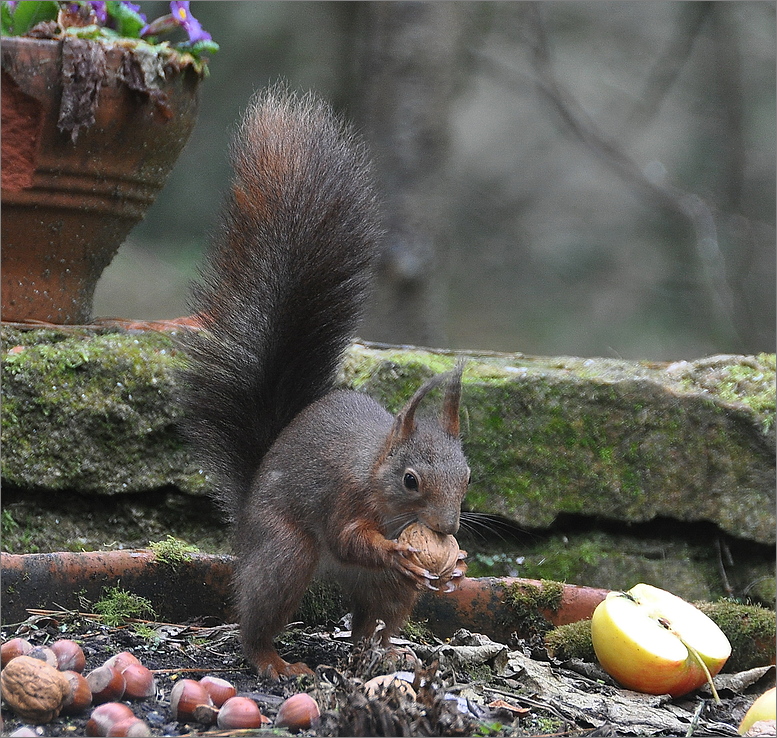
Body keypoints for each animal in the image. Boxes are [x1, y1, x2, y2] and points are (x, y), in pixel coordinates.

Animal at [180, 87, 470, 680]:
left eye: (468, 477)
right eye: (410, 480)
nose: (447, 527)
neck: (377, 471)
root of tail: (244, 521)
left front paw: (456, 568)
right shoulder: (345, 495)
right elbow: (348, 535)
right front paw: (397, 550)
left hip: (386, 593)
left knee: (369, 620)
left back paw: (382, 650)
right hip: (286, 554)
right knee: (259, 616)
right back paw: (274, 661)